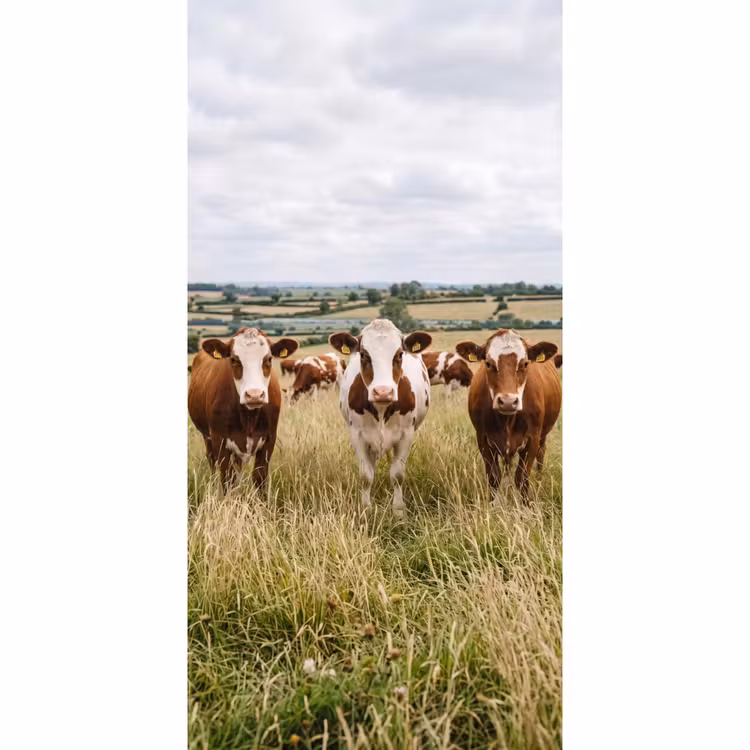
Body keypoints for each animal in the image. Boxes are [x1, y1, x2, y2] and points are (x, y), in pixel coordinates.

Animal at [187, 327, 299, 492]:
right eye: (234, 359)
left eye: (269, 359)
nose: (254, 395)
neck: (248, 416)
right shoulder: (219, 440)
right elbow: (227, 480)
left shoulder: (269, 439)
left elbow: (259, 478)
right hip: (207, 436)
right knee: (212, 461)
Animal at [329, 319, 432, 517]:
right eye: (363, 355)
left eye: (399, 354)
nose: (383, 391)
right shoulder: (357, 435)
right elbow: (366, 475)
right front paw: (366, 508)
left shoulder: (406, 435)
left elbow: (397, 475)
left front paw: (399, 510)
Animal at [456, 329, 561, 505]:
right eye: (488, 363)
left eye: (525, 364)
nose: (507, 401)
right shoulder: (483, 439)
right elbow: (494, 476)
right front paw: (494, 504)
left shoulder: (533, 438)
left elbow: (522, 477)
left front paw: (525, 506)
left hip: (543, 435)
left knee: (541, 452)